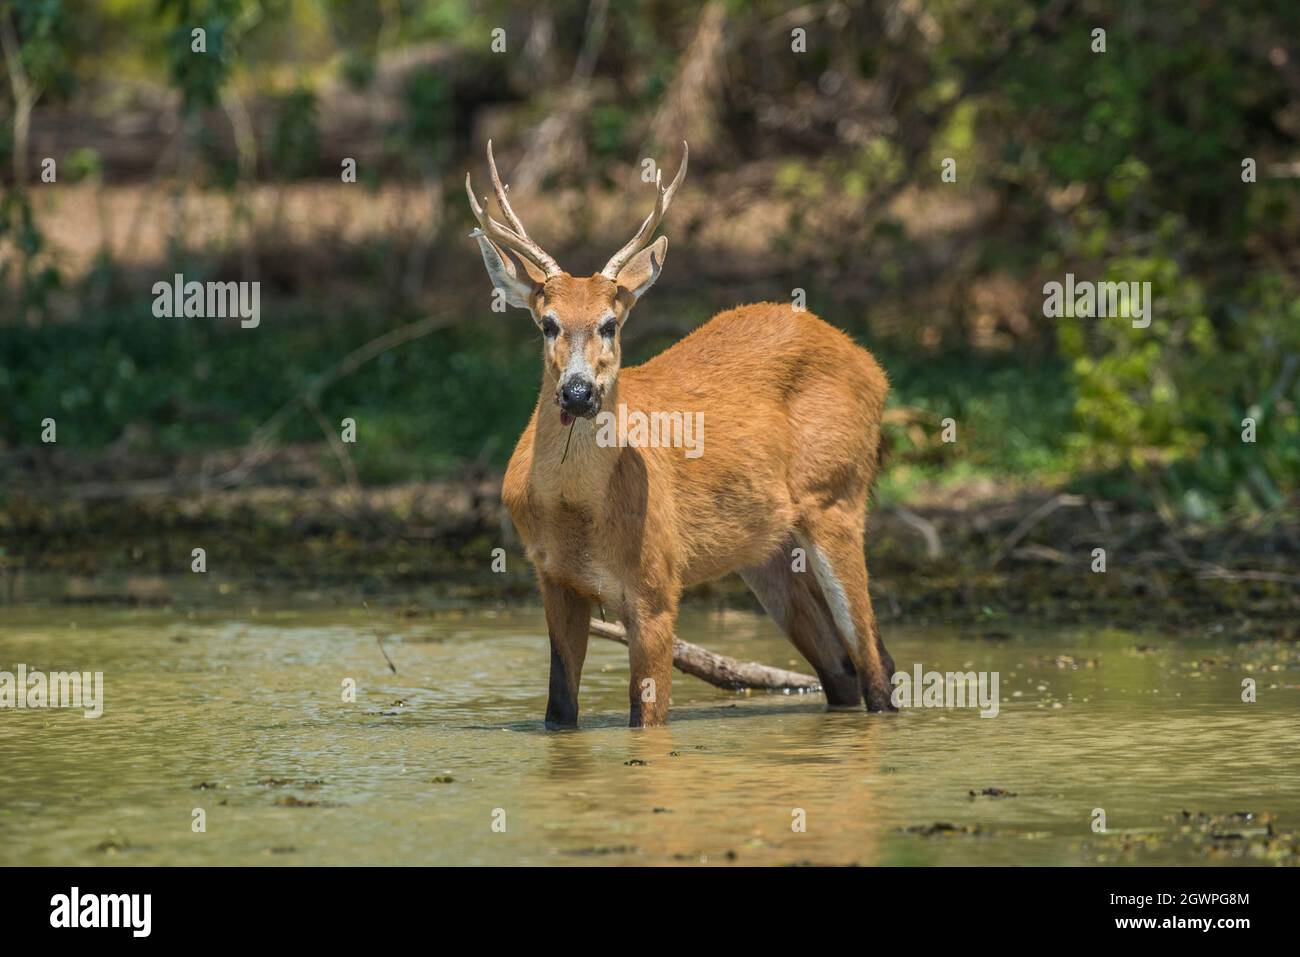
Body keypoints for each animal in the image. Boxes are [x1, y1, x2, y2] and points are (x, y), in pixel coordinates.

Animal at [467, 140, 894, 722]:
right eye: (548, 323)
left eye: (610, 324)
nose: (578, 393)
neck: (577, 514)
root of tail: (873, 368)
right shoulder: (553, 580)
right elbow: (559, 711)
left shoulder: (657, 586)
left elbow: (645, 718)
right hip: (769, 552)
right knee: (844, 670)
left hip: (837, 498)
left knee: (874, 664)